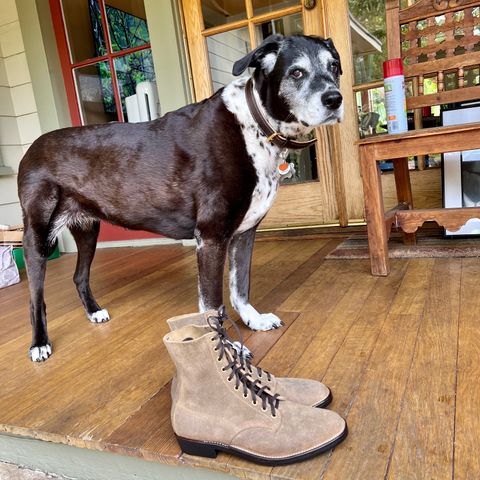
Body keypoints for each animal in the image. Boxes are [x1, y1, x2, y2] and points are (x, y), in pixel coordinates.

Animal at [17, 33, 342, 362]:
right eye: (296, 72)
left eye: (334, 67)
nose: (335, 99)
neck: (254, 124)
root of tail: (32, 148)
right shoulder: (211, 237)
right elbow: (212, 306)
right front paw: (225, 348)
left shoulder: (245, 232)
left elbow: (240, 287)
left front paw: (254, 320)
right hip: (38, 235)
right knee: (35, 298)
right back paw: (39, 343)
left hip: (87, 230)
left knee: (79, 276)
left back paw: (94, 311)